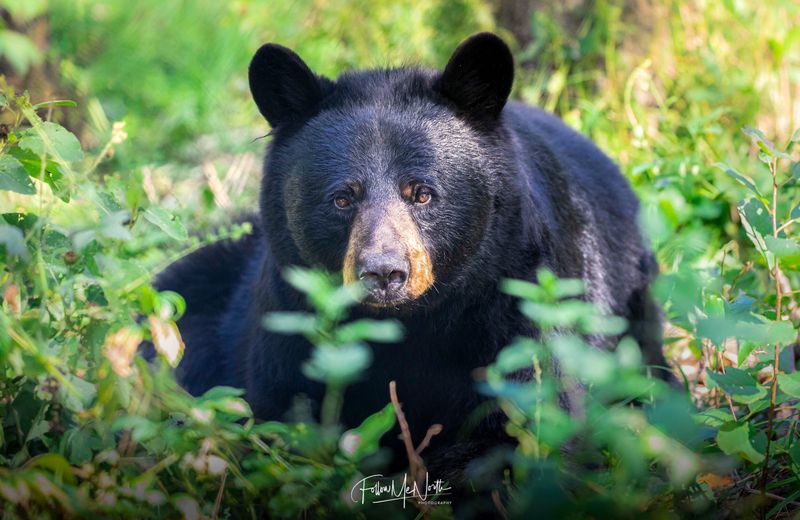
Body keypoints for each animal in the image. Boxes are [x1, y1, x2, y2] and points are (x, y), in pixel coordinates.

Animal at [153, 32, 664, 482]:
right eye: (342, 198)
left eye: (422, 193)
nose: (384, 272)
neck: (408, 326)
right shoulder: (289, 318)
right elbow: (278, 408)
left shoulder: (519, 298)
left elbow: (524, 422)